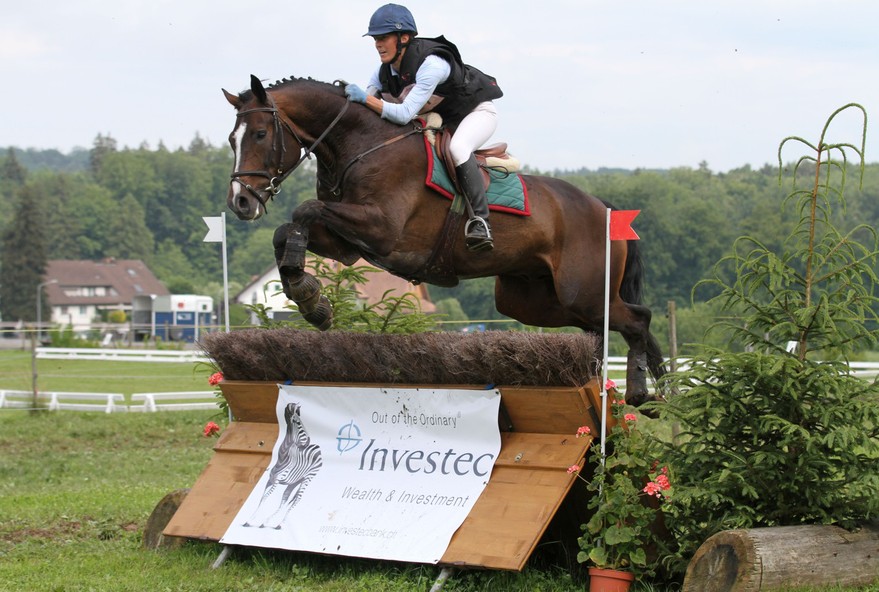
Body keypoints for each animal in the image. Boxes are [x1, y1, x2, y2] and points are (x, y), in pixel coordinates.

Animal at [222, 74, 668, 404]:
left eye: (260, 134)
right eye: (231, 140)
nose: (240, 201)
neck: (362, 144)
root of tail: (603, 207)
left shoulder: (380, 230)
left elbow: (303, 210)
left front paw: (310, 298)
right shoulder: (347, 245)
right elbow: (286, 231)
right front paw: (310, 299)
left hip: (582, 292)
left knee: (637, 318)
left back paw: (641, 392)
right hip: (532, 300)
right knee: (615, 325)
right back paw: (649, 388)